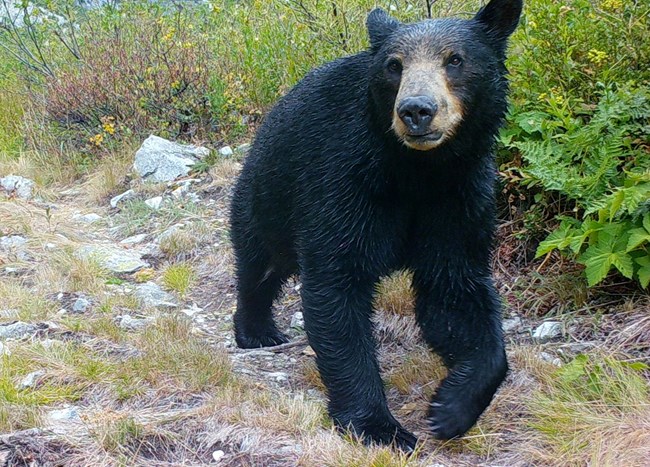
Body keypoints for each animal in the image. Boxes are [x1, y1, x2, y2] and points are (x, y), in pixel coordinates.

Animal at [229, 0, 522, 451]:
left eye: (455, 60)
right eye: (394, 65)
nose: (416, 110)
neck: (416, 170)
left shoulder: (459, 197)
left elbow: (454, 292)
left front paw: (450, 410)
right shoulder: (344, 182)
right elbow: (338, 288)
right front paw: (379, 426)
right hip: (268, 194)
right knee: (259, 263)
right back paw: (256, 330)